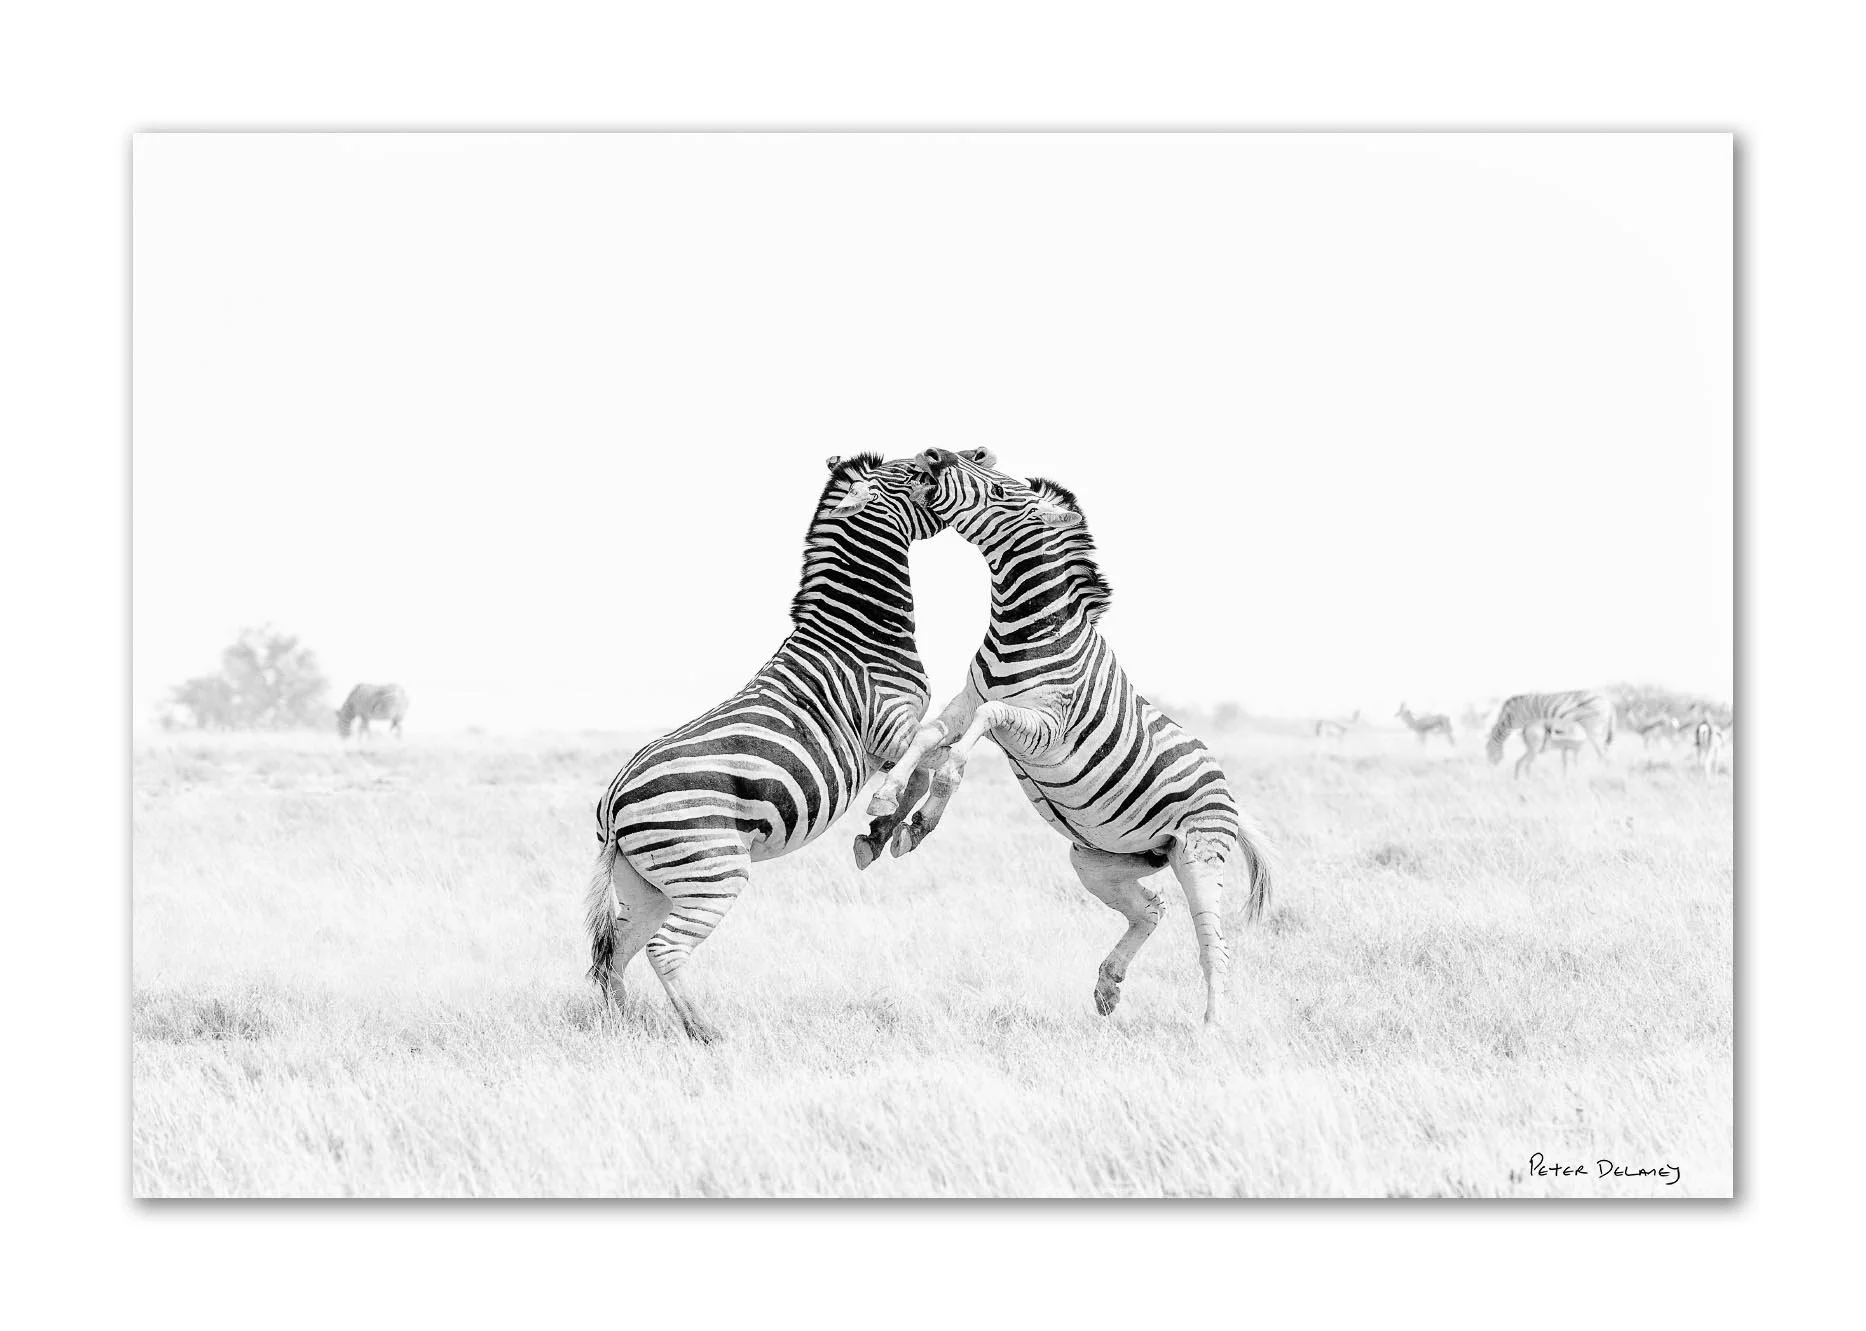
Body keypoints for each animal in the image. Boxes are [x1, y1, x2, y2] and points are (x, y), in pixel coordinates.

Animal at [586, 453, 949, 1042]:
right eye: (908, 474)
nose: (963, 454)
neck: (860, 635)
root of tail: (614, 803)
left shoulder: (892, 742)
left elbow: (924, 768)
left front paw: (888, 830)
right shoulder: (890, 725)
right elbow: (939, 751)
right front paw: (894, 815)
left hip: (647, 885)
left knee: (616, 953)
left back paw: (624, 1029)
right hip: (711, 870)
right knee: (664, 950)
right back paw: (705, 1033)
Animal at [864, 450, 1276, 1028]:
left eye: (1002, 493)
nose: (934, 455)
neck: (1024, 627)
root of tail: (1230, 797)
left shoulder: (1044, 724)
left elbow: (971, 737)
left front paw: (924, 816)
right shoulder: (966, 697)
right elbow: (928, 736)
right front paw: (888, 803)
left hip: (1198, 853)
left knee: (1212, 944)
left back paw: (1212, 1028)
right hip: (1101, 859)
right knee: (1152, 909)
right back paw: (1108, 987)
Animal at [1485, 690, 1615, 778]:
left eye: (1489, 751)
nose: (1491, 770)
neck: (1509, 718)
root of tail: (1607, 701)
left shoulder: (1530, 720)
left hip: (1593, 728)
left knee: (1602, 753)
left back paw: (1601, 771)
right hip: (1600, 729)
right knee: (1604, 750)